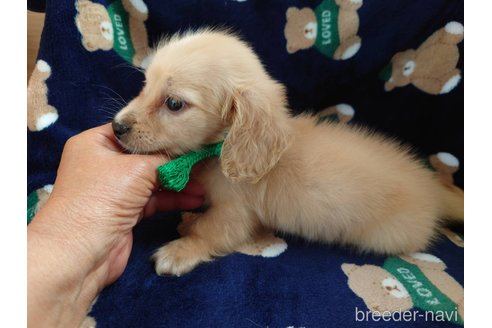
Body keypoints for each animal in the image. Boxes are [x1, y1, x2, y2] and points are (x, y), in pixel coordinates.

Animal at [112, 30, 466, 276]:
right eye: (144, 85)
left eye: (174, 103)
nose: (116, 127)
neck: (221, 149)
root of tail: (432, 186)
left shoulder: (235, 214)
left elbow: (210, 231)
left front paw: (180, 250)